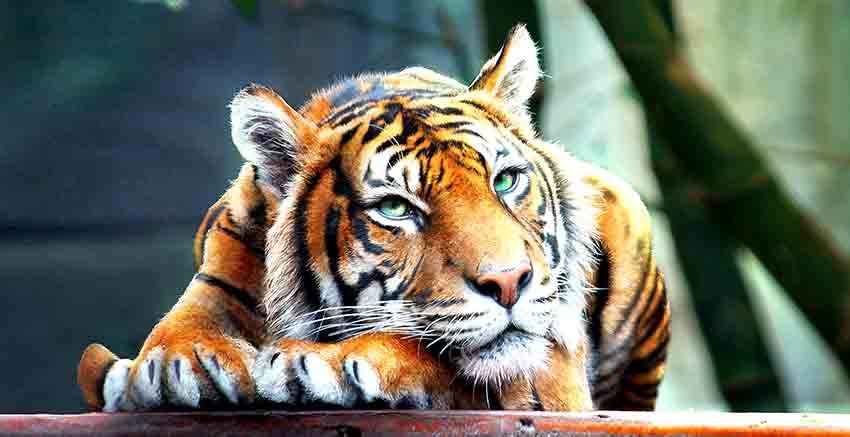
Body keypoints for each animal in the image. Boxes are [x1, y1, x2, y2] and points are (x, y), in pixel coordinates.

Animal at [78, 25, 669, 412]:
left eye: (504, 181)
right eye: (395, 208)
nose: (509, 283)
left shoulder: (546, 370)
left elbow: (429, 352)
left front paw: (318, 364)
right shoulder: (216, 277)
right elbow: (177, 329)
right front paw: (174, 366)